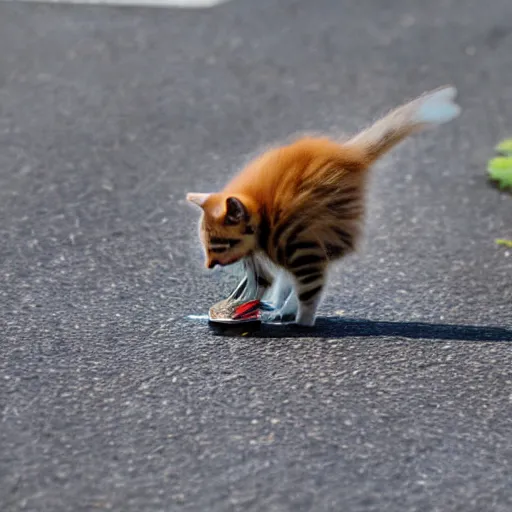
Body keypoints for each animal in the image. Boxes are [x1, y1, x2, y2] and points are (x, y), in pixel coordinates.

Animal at [187, 84, 460, 324]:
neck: (261, 211)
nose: (209, 265)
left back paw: (291, 312)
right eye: (206, 246)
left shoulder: (291, 237)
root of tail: (349, 156)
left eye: (220, 245)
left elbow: (307, 287)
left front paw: (303, 321)